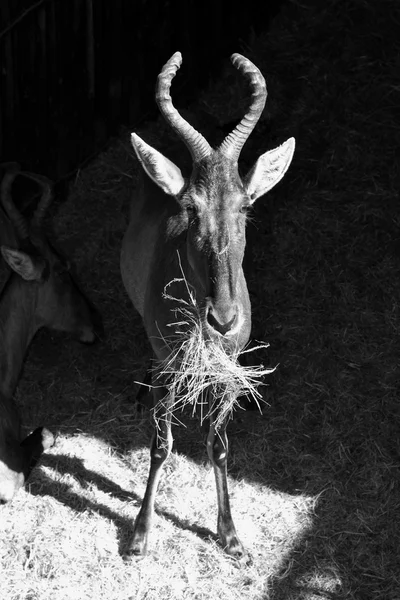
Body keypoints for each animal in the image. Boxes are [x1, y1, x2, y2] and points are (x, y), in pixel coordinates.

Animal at [120, 54, 296, 560]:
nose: (223, 319)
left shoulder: (228, 371)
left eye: (245, 206)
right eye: (190, 207)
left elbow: (218, 446)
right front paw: (140, 536)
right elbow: (161, 445)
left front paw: (231, 536)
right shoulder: (170, 364)